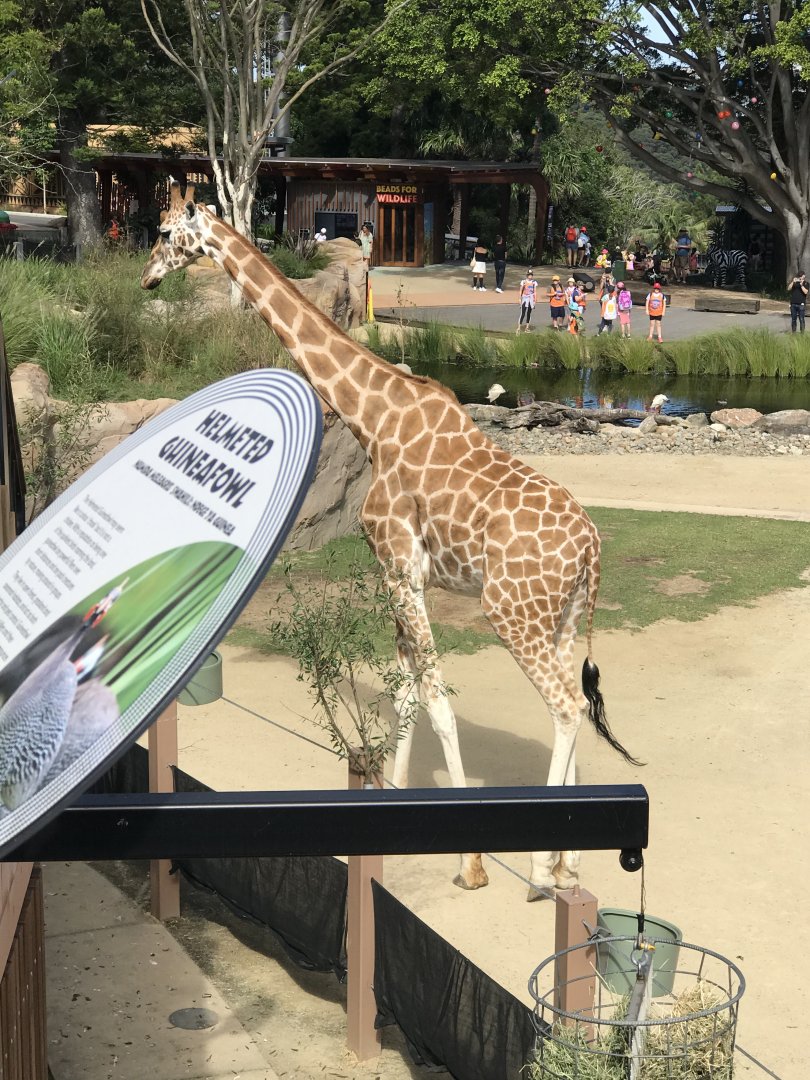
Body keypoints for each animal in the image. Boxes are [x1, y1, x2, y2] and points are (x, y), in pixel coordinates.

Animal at [141, 183, 640, 898]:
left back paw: (540, 868)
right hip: (565, 617)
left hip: (510, 613)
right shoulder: (407, 572)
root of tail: (594, 547)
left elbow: (434, 695)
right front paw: (400, 799)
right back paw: (569, 861)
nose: (146, 277)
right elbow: (406, 688)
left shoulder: (398, 561)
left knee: (569, 705)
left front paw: (470, 862)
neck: (372, 419)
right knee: (570, 699)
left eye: (162, 232)